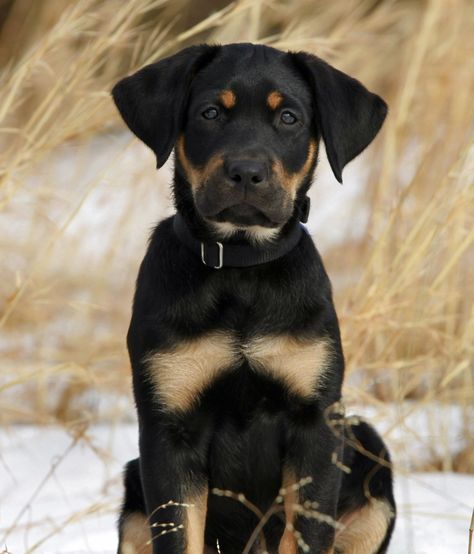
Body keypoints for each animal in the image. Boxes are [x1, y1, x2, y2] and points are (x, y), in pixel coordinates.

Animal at [112, 44, 396, 552]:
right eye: (209, 113)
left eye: (288, 117)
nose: (246, 173)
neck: (241, 272)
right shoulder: (169, 430)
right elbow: (181, 534)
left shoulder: (314, 422)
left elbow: (304, 534)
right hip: (132, 498)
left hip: (368, 450)